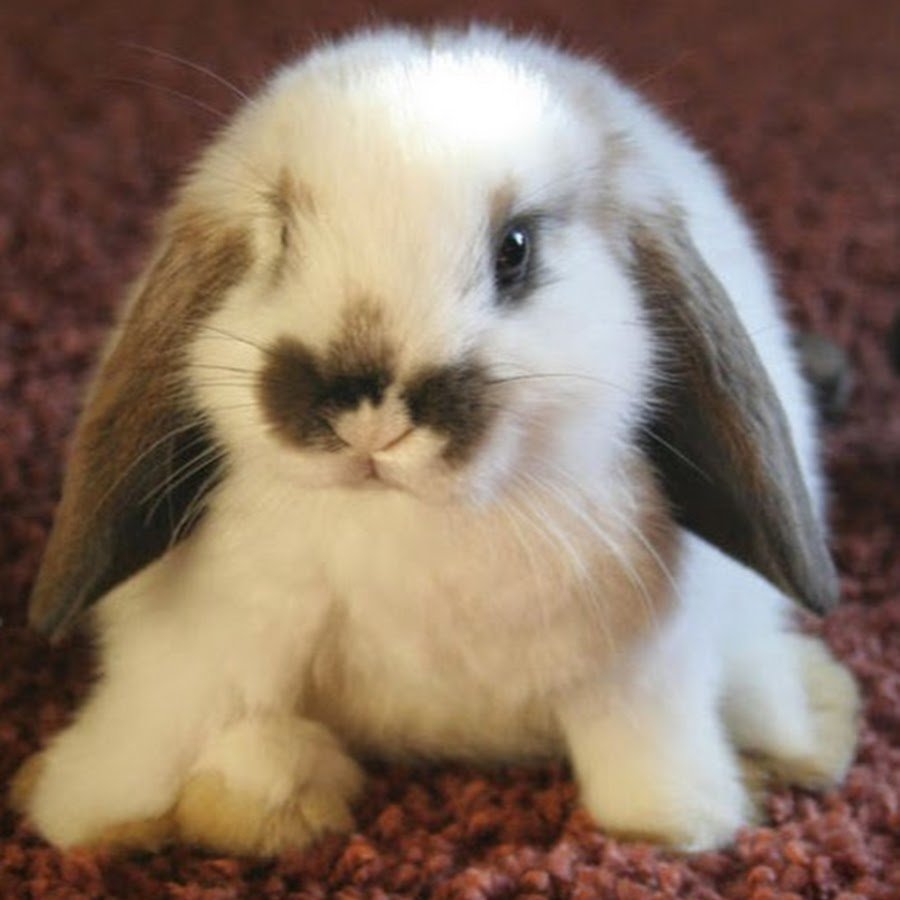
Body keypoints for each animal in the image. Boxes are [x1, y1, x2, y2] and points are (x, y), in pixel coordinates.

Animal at [11, 25, 860, 856]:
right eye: (280, 235)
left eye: (515, 249)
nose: (368, 409)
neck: (410, 527)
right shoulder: (202, 648)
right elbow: (157, 728)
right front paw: (88, 815)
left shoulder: (644, 672)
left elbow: (644, 765)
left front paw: (682, 824)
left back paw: (815, 726)